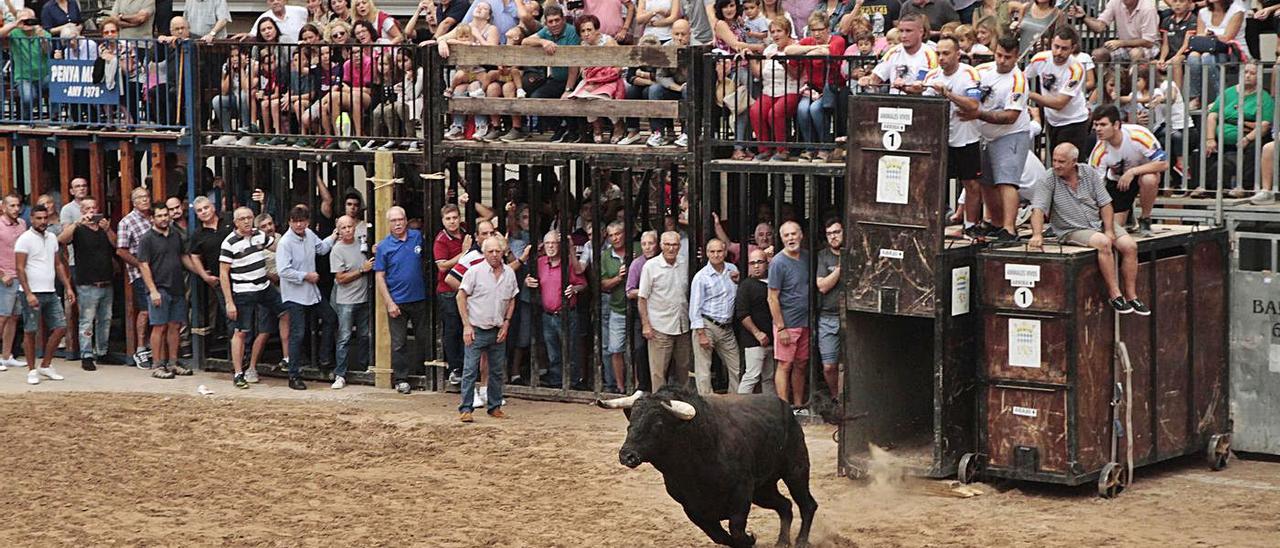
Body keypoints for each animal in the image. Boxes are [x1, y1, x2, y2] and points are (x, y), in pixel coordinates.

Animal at [593, 384, 814, 548]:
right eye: (630, 422)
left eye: (658, 425)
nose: (627, 456)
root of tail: (785, 406)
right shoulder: (691, 508)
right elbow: (719, 535)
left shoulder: (741, 492)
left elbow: (736, 529)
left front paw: (750, 538)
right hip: (763, 490)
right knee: (785, 505)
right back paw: (782, 542)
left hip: (796, 470)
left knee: (807, 505)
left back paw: (801, 541)